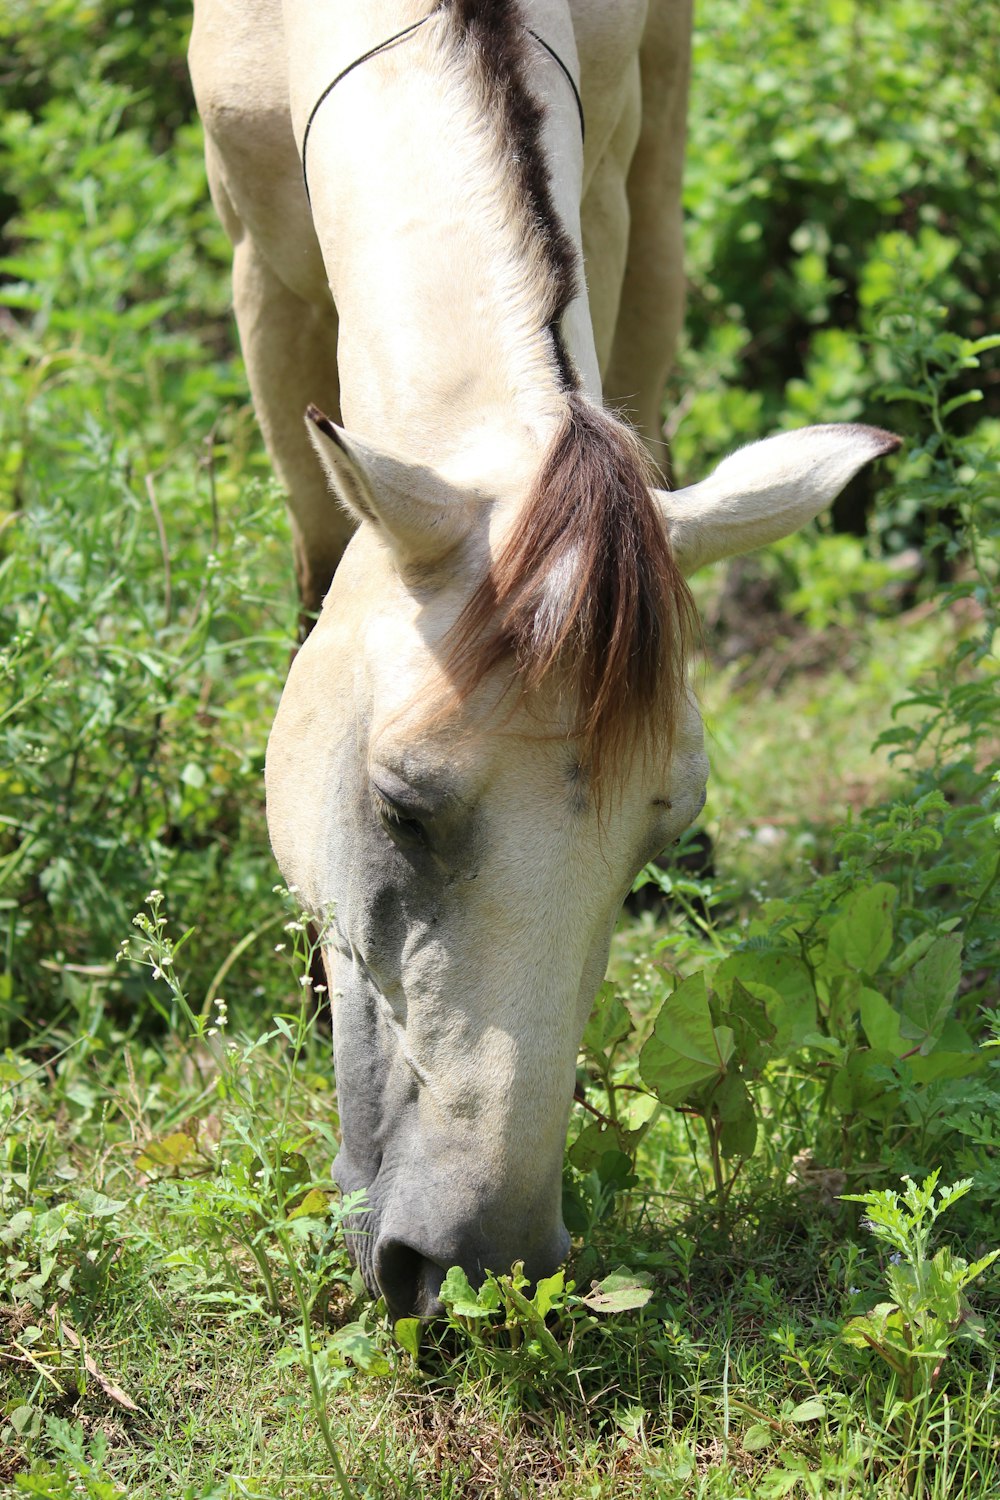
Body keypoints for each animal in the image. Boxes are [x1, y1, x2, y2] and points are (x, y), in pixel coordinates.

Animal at [187, 0, 899, 1314]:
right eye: (399, 809)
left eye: (657, 831)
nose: (474, 1263)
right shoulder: (261, 262)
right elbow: (316, 568)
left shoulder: (608, 187)